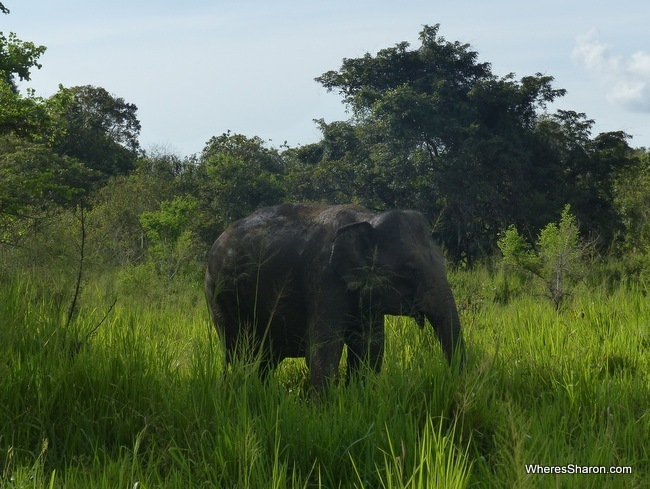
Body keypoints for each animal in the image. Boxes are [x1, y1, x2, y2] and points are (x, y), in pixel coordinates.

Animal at [205, 204, 464, 390]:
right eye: (409, 269)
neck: (368, 218)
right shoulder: (323, 279)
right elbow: (323, 351)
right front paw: (323, 414)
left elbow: (370, 348)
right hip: (219, 295)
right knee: (239, 352)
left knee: (263, 359)